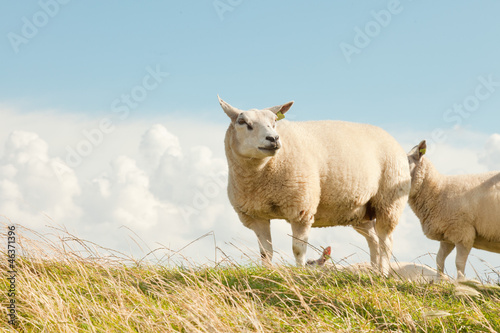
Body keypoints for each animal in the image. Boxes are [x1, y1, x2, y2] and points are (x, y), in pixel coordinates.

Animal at [219, 95, 410, 272]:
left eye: (274, 122)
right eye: (242, 122)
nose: (273, 139)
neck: (260, 176)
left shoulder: (301, 209)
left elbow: (298, 249)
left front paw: (300, 273)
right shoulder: (257, 216)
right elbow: (266, 253)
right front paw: (267, 272)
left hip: (389, 201)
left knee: (386, 241)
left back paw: (383, 272)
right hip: (361, 211)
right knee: (374, 241)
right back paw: (373, 271)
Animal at [408, 140, 500, 280]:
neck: (438, 189)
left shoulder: (463, 232)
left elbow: (459, 263)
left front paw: (461, 283)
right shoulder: (447, 236)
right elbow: (439, 260)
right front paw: (438, 281)